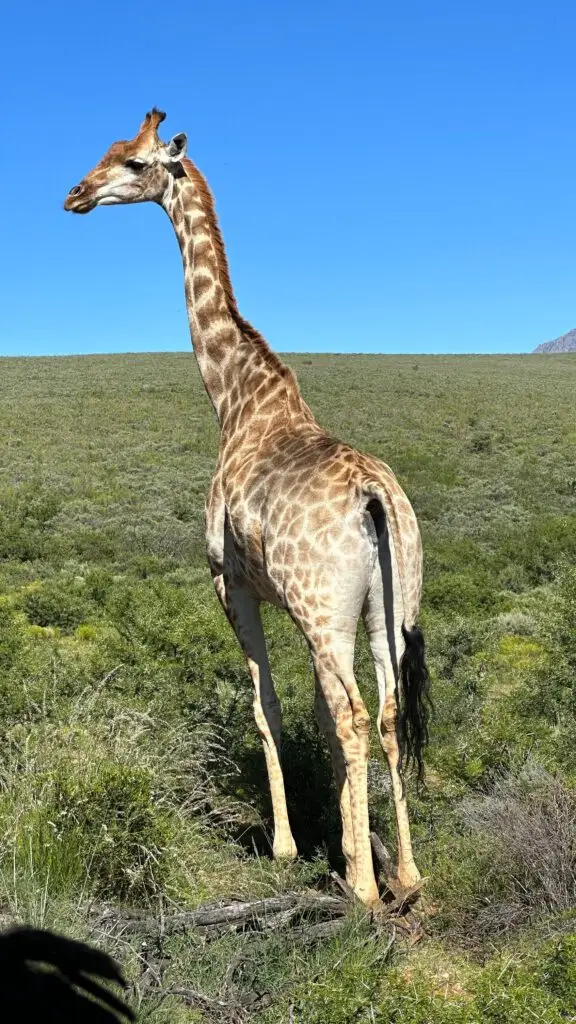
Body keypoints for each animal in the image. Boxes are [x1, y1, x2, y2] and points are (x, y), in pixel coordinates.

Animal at [64, 109, 431, 907]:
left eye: (134, 162)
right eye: (108, 151)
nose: (74, 194)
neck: (234, 399)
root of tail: (376, 498)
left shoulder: (230, 582)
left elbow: (270, 709)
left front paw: (295, 848)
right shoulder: (300, 606)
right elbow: (316, 719)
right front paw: (349, 843)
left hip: (327, 612)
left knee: (357, 716)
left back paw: (363, 891)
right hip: (388, 609)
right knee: (386, 714)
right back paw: (406, 876)